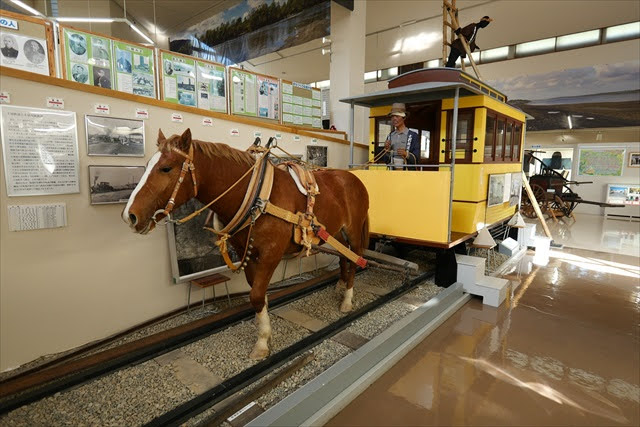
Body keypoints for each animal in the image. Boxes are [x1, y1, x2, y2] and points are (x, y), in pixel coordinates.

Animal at [122, 129, 368, 360]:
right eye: (147, 165)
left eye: (166, 168)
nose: (129, 215)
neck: (257, 196)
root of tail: (353, 178)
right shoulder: (245, 252)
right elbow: (258, 294)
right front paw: (263, 329)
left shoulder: (271, 254)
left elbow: (256, 295)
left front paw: (262, 342)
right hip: (336, 231)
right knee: (344, 256)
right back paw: (340, 285)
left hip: (354, 230)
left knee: (356, 259)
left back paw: (347, 298)